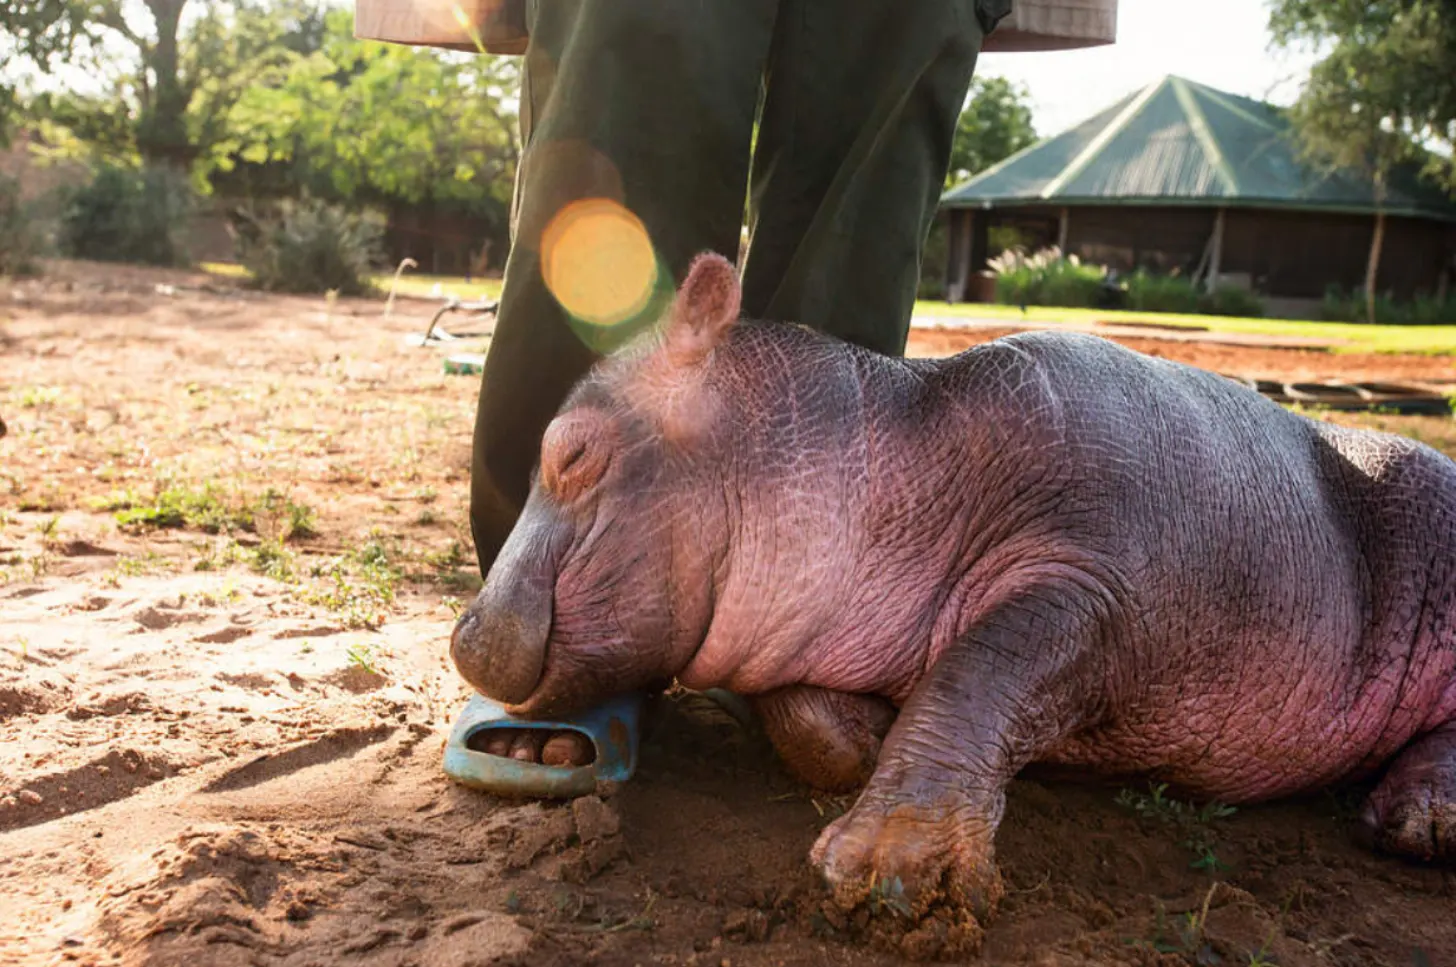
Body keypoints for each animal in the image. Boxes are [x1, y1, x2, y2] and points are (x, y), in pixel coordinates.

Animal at [451, 251, 1456, 935]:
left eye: (572, 450)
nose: (461, 628)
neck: (896, 450)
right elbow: (804, 715)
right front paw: (860, 739)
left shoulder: (1096, 587)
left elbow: (979, 672)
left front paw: (888, 875)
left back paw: (1419, 826)